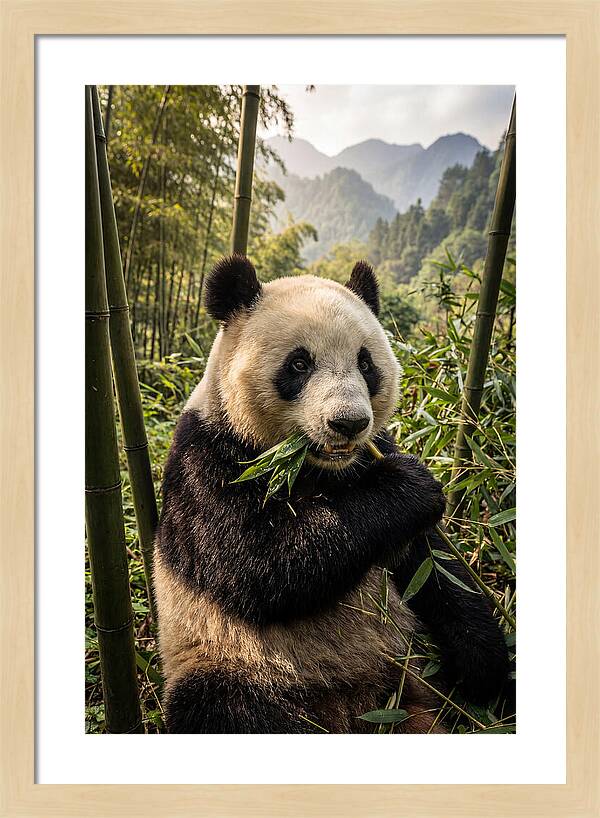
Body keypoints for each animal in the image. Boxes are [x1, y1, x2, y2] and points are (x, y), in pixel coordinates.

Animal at [153, 255, 510, 734]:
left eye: (366, 363)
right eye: (299, 364)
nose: (348, 423)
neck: (315, 467)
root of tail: (355, 708)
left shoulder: (373, 457)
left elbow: (435, 568)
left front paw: (484, 666)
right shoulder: (207, 457)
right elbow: (257, 564)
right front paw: (409, 487)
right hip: (230, 661)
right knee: (223, 707)